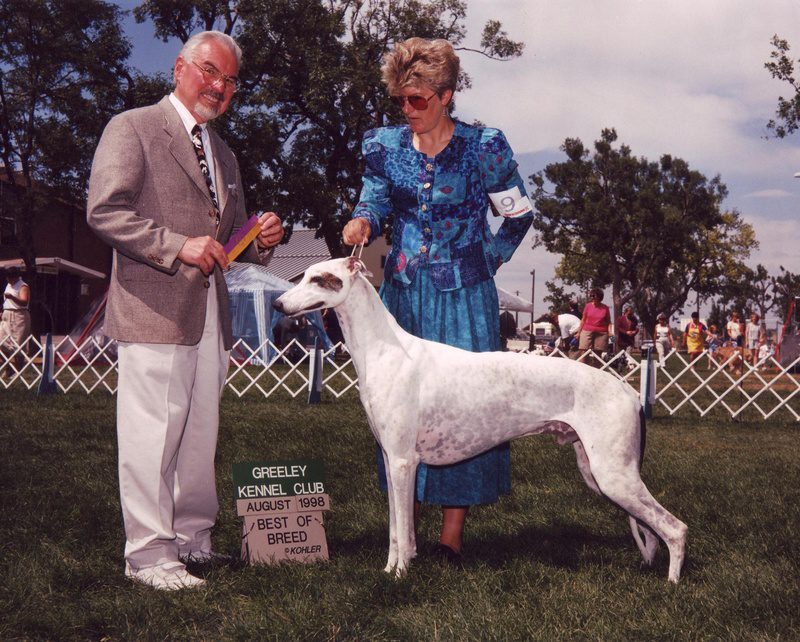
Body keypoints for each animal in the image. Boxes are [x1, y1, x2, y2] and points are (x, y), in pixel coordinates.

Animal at [274, 255, 688, 580]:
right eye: (305, 274)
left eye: (319, 278)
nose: (277, 305)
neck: (385, 349)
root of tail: (629, 393)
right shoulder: (391, 461)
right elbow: (396, 528)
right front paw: (391, 568)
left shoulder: (404, 462)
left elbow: (404, 531)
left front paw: (400, 574)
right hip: (599, 474)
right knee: (655, 531)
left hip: (614, 476)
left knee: (676, 528)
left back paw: (671, 584)